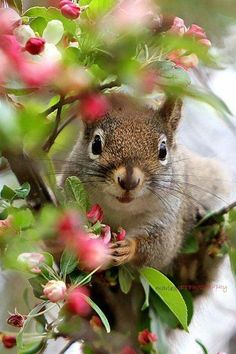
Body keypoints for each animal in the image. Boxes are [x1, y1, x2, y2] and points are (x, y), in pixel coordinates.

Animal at [61, 92, 230, 276]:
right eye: (96, 144)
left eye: (163, 151)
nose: (129, 182)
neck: (121, 210)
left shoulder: (167, 215)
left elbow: (162, 247)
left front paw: (129, 247)